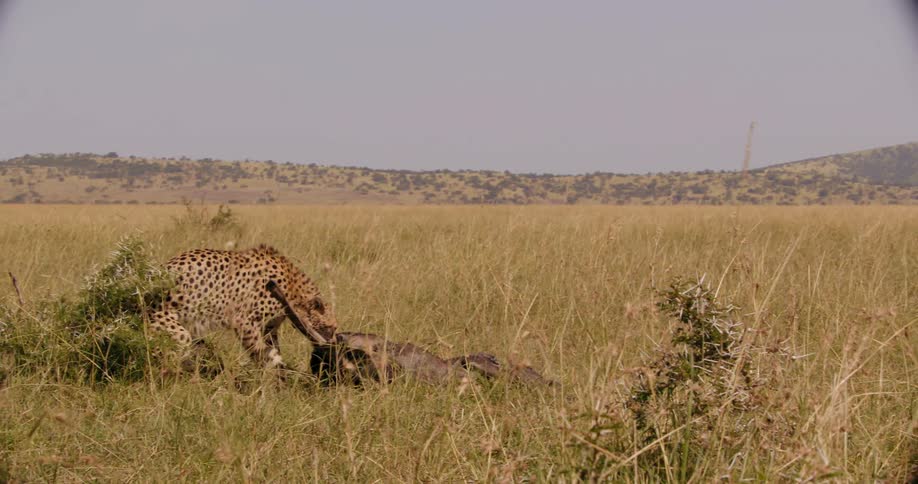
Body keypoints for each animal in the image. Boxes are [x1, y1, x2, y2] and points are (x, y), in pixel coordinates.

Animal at [149, 244, 337, 373]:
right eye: (331, 327)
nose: (333, 342)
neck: (292, 286)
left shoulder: (269, 328)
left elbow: (272, 347)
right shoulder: (244, 322)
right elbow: (261, 351)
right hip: (174, 330)